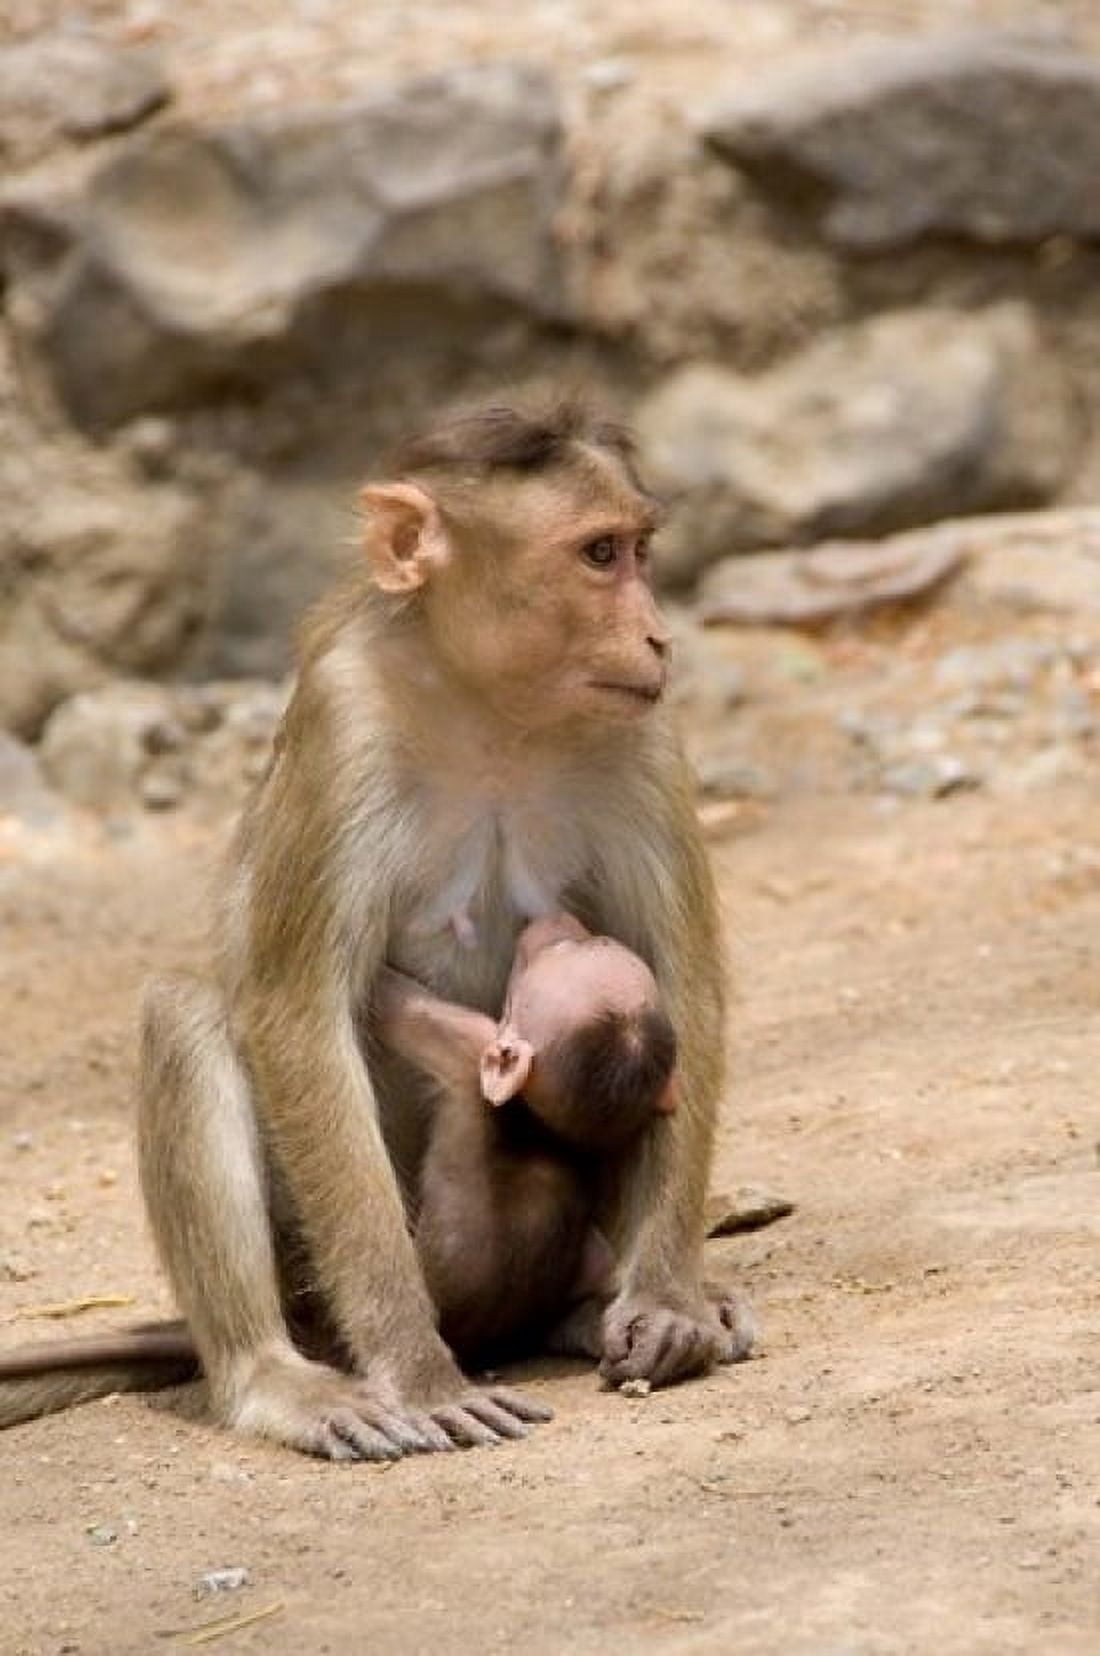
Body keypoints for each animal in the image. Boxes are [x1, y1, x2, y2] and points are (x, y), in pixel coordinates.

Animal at [0, 401, 746, 1457]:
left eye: (639, 548)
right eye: (600, 554)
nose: (657, 635)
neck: (488, 708)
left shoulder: (641, 729)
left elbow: (681, 985)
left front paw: (670, 1301)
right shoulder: (341, 717)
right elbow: (297, 1014)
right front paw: (419, 1373)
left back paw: (601, 1301)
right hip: (307, 1275)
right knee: (188, 1015)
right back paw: (270, 1377)